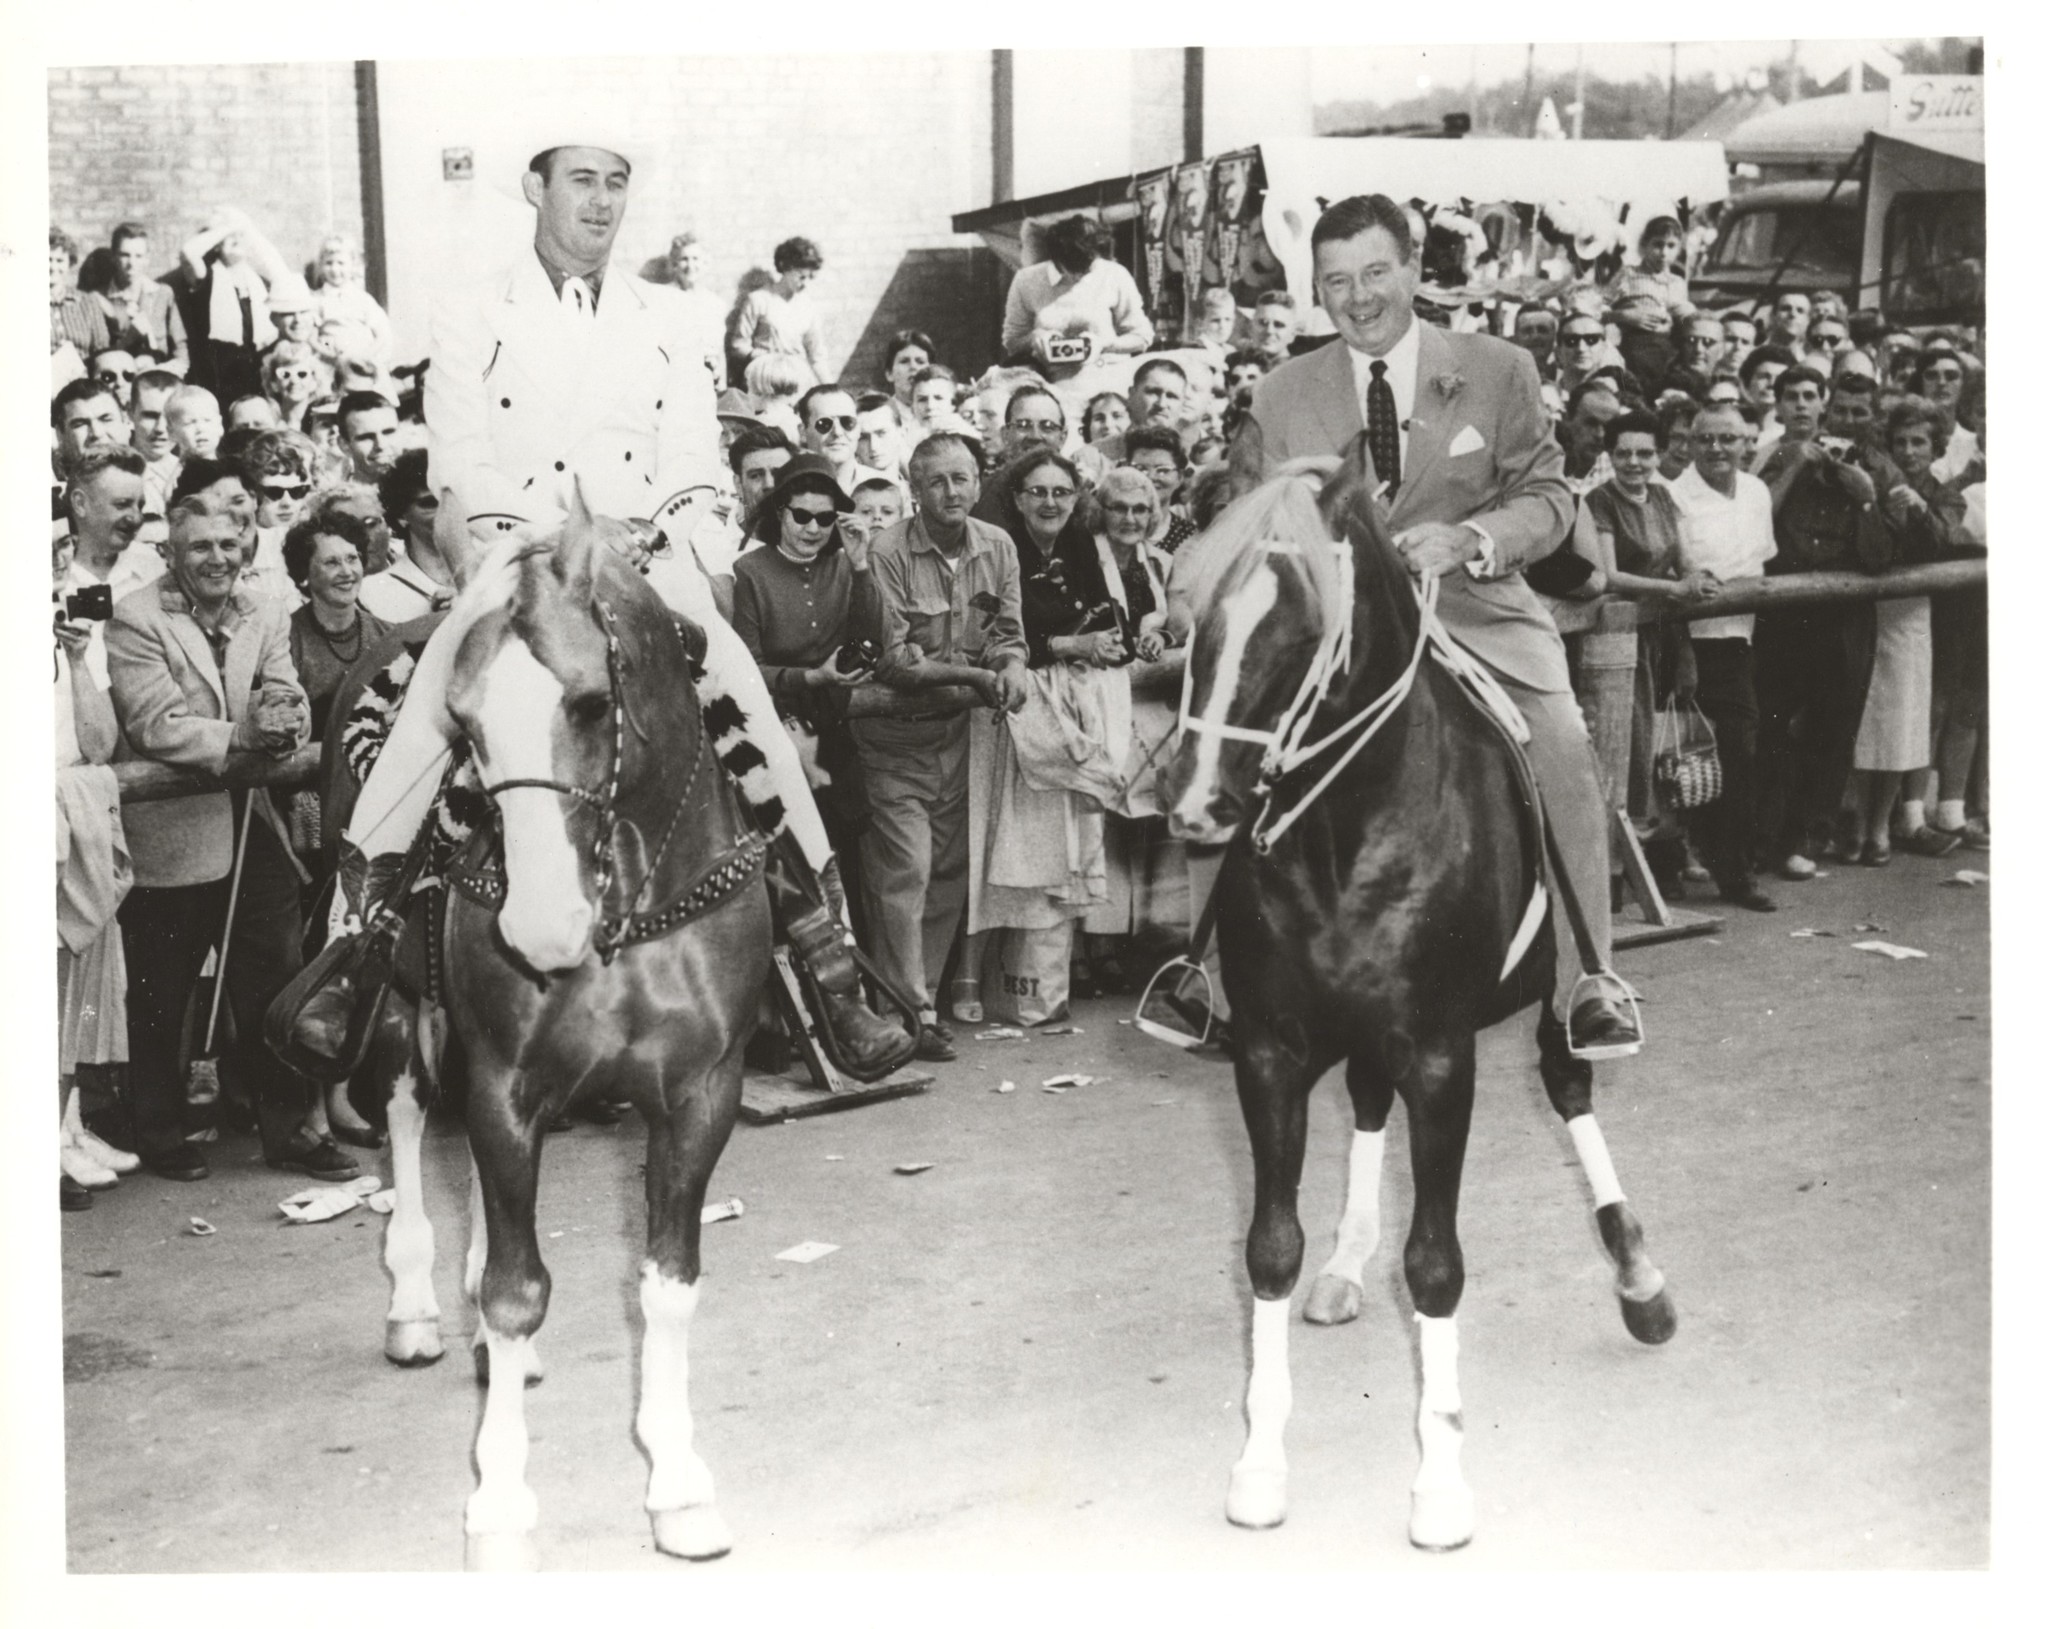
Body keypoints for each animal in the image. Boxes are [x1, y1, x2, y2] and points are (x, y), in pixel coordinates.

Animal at [1163, 436, 1671, 1557]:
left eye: (1302, 625)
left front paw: (1438, 1483)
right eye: (1189, 610)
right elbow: (1267, 1248)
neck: (1346, 830)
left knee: (1570, 1090)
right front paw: (1260, 1464)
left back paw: (1639, 1277)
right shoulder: (1269, 1054)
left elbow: (1435, 1264)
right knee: (1363, 1103)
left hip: (1550, 1000)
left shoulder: (1442, 1056)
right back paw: (1349, 1263)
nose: (1195, 808)